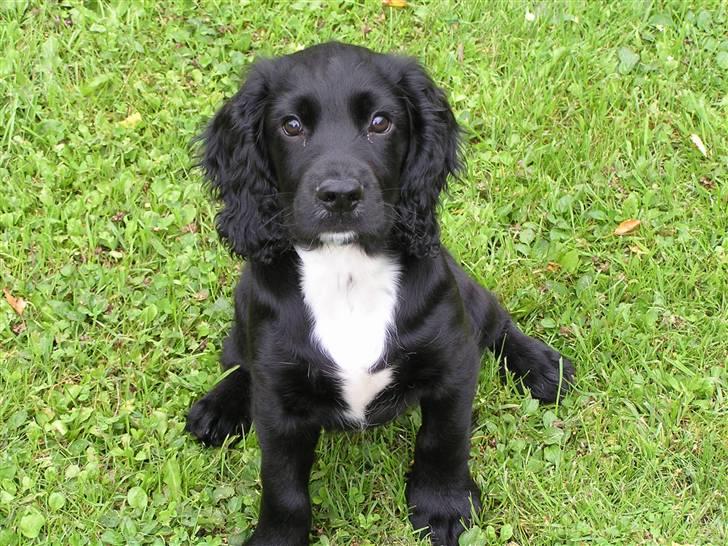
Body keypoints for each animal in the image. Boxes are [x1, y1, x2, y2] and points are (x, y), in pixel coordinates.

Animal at [188, 42, 576, 544]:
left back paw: (542, 365)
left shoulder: (453, 364)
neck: (347, 272)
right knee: (238, 359)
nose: (339, 195)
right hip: (243, 306)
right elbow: (282, 482)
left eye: (380, 122)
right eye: (291, 126)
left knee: (494, 320)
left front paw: (443, 507)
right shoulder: (275, 400)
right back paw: (220, 405)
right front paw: (278, 537)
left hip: (463, 288)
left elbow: (443, 440)